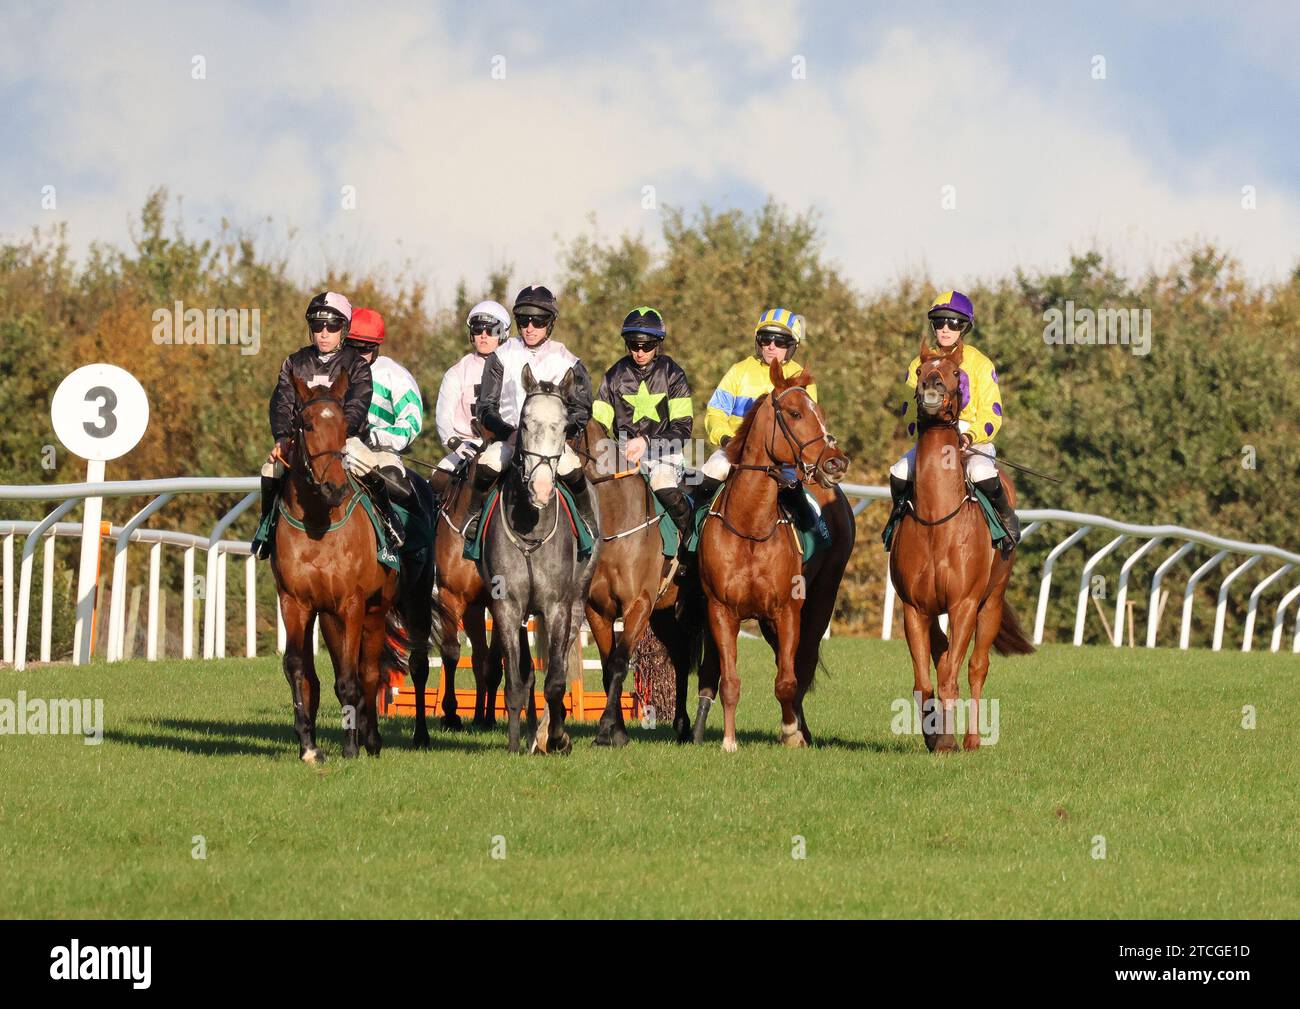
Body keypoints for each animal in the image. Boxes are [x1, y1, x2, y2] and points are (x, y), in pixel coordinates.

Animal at [269, 369, 395, 764]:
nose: (334, 488)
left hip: (376, 609)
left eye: (342, 425)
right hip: (327, 617)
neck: (318, 524)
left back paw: (371, 739)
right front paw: (308, 744)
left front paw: (351, 746)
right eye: (306, 424)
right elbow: (298, 668)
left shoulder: (352, 604)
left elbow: (352, 679)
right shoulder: (295, 602)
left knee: (368, 673)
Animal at [478, 366, 598, 754]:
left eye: (563, 426)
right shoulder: (506, 607)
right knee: (528, 672)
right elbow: (516, 681)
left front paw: (558, 737)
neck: (531, 529)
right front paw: (517, 744)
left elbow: (557, 681)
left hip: (576, 603)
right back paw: (532, 734)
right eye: (525, 422)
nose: (542, 488)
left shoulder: (557, 607)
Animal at [577, 416, 702, 738]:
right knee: (679, 654)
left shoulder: (639, 605)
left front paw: (607, 730)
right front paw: (617, 730)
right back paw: (681, 724)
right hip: (664, 613)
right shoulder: (597, 610)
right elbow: (608, 668)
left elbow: (620, 663)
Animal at [696, 361, 847, 748]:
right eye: (794, 413)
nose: (836, 463)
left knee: (802, 664)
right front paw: (729, 741)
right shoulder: (721, 610)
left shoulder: (787, 610)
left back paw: (801, 729)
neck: (750, 526)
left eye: (819, 412)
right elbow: (730, 681)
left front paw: (791, 733)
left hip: (823, 597)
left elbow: (787, 680)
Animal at [883, 338, 1034, 748]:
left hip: (992, 601)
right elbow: (924, 681)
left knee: (976, 665)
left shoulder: (964, 603)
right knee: (942, 655)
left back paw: (971, 739)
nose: (932, 390)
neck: (938, 519)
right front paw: (934, 734)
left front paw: (949, 741)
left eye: (954, 372)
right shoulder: (914, 608)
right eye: (919, 371)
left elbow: (953, 673)